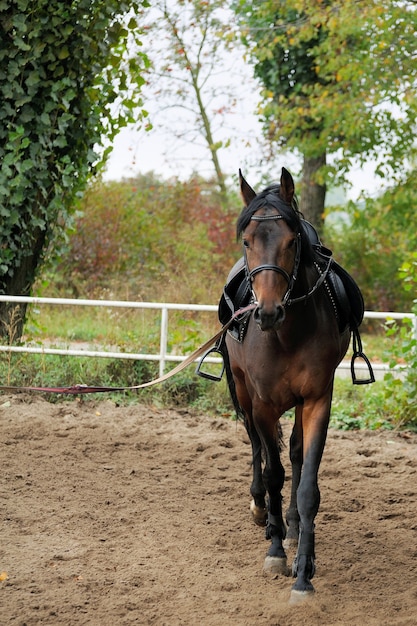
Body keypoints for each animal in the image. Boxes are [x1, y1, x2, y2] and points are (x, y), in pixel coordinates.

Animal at [223, 168, 352, 604]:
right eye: (247, 241)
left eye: (292, 240)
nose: (267, 312)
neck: (288, 333)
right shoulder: (263, 405)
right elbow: (274, 471)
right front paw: (276, 553)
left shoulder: (316, 400)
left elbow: (306, 481)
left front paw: (303, 574)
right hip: (243, 393)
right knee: (258, 449)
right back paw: (264, 513)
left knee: (293, 453)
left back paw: (292, 526)